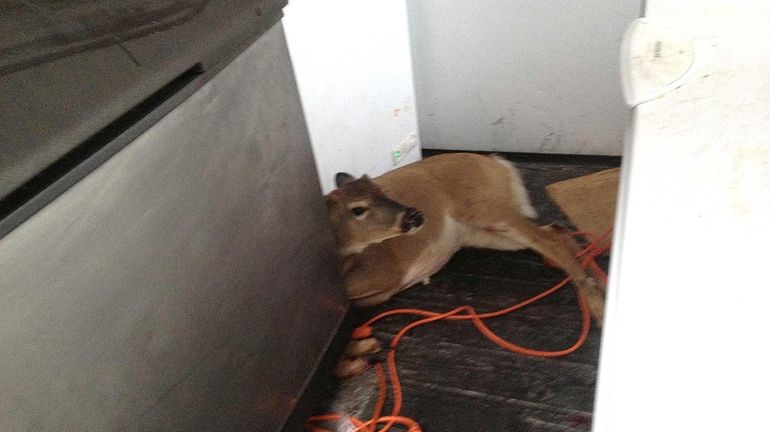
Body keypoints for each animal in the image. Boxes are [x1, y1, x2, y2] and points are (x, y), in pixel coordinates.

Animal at [324, 153, 608, 378]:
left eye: (383, 191)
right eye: (358, 209)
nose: (414, 215)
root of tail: (495, 162)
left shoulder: (384, 272)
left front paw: (361, 355)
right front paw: (361, 353)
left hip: (488, 208)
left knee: (551, 239)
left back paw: (599, 310)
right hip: (481, 231)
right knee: (558, 232)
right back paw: (604, 287)